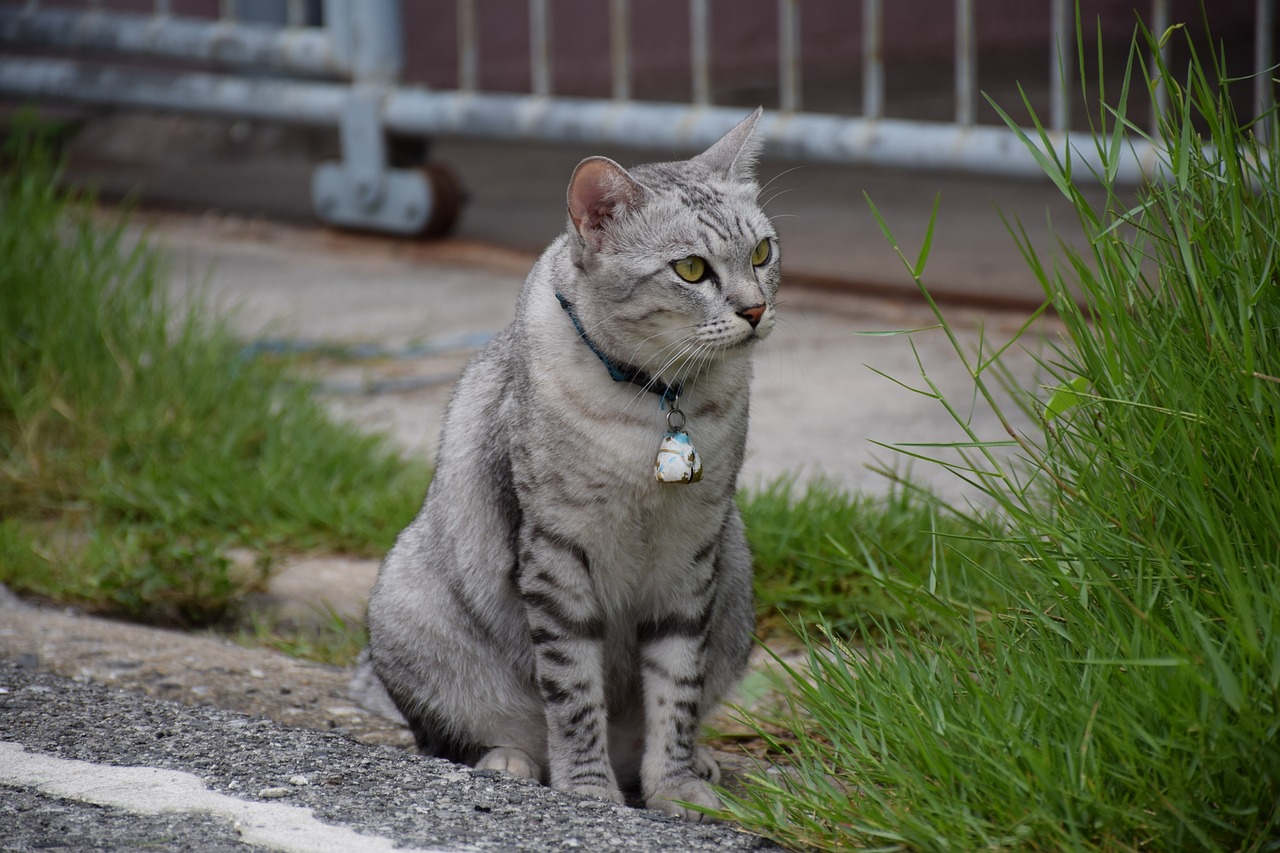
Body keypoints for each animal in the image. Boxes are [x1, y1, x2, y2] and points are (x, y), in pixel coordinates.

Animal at [360, 108, 778, 819]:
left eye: (761, 253)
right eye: (692, 269)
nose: (754, 309)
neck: (657, 402)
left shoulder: (691, 550)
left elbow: (677, 687)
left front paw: (676, 785)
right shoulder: (556, 549)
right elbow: (575, 693)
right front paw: (587, 790)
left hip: (737, 575)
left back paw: (696, 762)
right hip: (406, 602)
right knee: (457, 736)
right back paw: (513, 762)